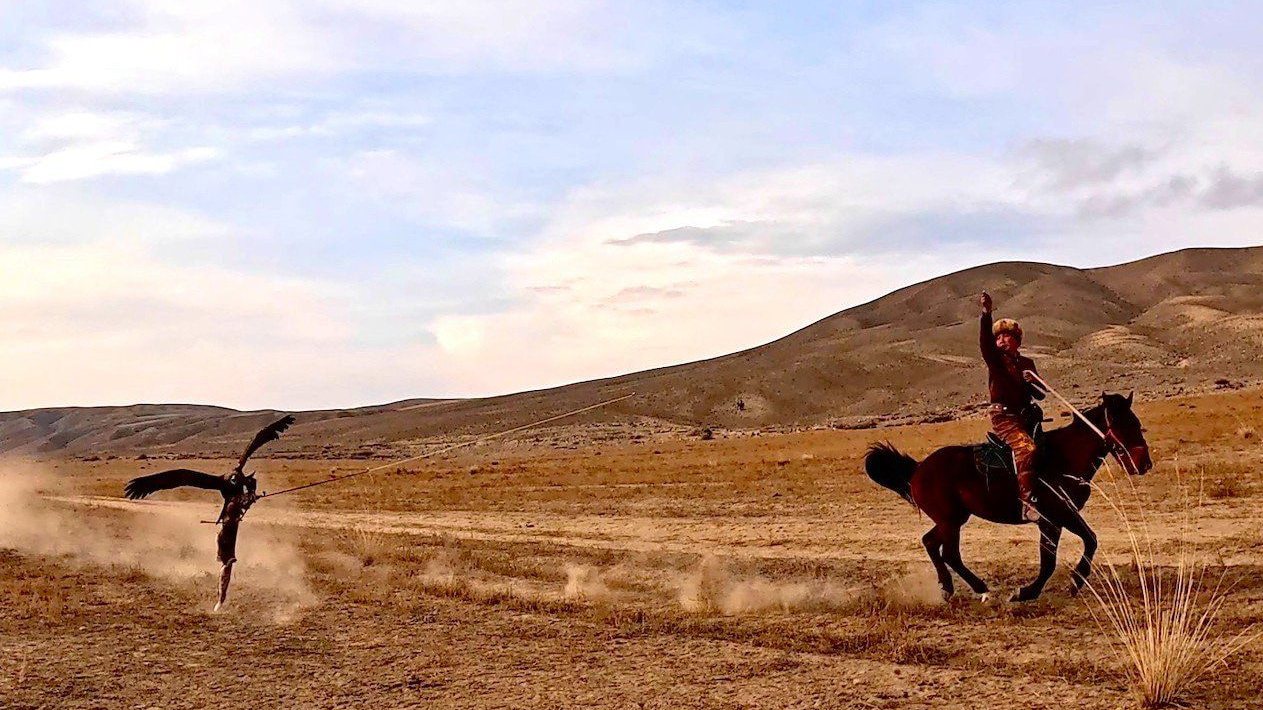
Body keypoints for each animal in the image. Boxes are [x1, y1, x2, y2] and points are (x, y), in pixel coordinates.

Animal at [864, 392, 1152, 602]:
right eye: (1122, 424)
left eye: (1138, 424)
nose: (1144, 464)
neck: (1064, 457)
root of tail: (918, 468)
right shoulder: (1052, 518)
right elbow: (1050, 561)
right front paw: (1026, 592)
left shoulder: (1062, 517)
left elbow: (1090, 540)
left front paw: (1075, 582)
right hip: (950, 521)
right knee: (949, 553)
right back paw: (979, 588)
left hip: (954, 519)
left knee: (931, 543)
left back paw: (949, 588)